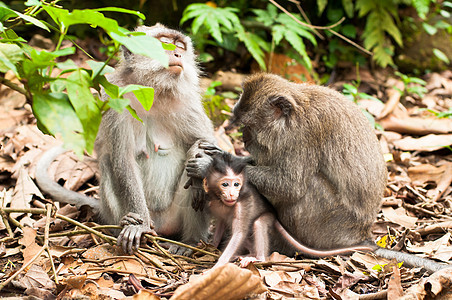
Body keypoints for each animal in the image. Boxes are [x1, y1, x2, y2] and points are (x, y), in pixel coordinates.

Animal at [205, 152, 374, 270]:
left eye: (236, 184)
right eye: (225, 184)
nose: (232, 194)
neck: (224, 202)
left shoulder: (242, 204)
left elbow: (239, 234)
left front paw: (217, 265)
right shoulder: (213, 203)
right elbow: (221, 224)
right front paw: (210, 244)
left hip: (268, 216)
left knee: (258, 224)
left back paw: (257, 258)